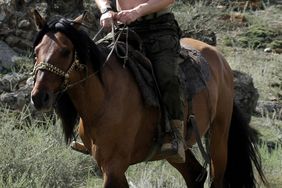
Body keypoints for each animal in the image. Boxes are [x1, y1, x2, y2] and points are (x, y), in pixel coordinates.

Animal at [30, 10, 266, 188]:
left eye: (65, 51)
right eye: (36, 51)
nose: (39, 97)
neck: (104, 98)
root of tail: (220, 59)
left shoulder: (114, 167)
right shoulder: (110, 168)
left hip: (218, 136)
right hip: (177, 152)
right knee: (194, 174)